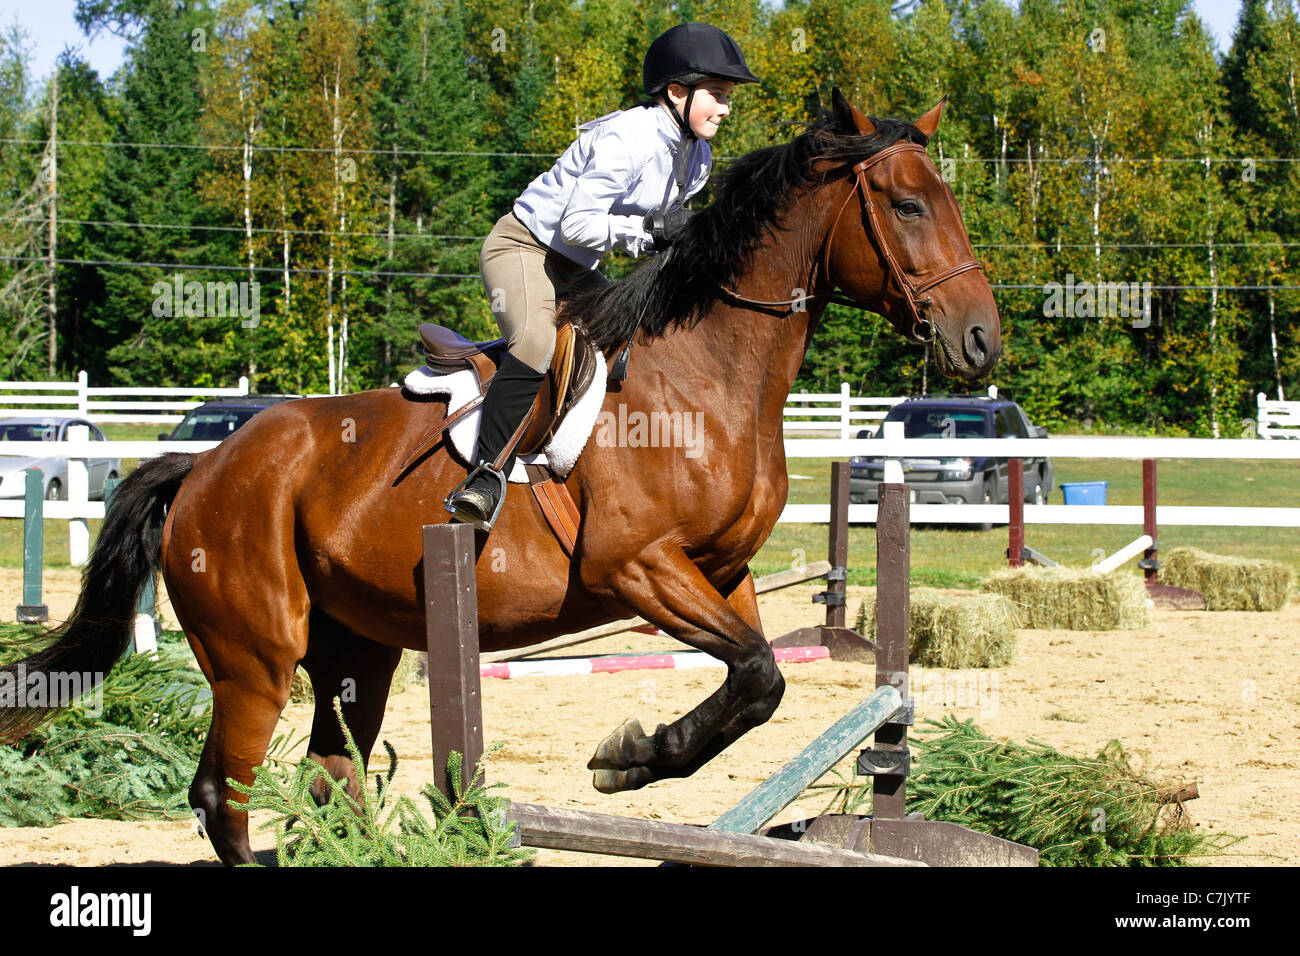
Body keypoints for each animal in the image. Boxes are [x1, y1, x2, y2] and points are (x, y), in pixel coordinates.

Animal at [0, 90, 999, 866]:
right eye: (906, 205)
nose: (982, 340)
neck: (709, 373)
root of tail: (205, 463)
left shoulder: (721, 575)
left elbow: (758, 683)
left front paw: (637, 757)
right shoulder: (635, 566)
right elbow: (756, 673)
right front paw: (629, 755)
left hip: (358, 649)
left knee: (329, 782)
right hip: (257, 657)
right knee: (224, 795)